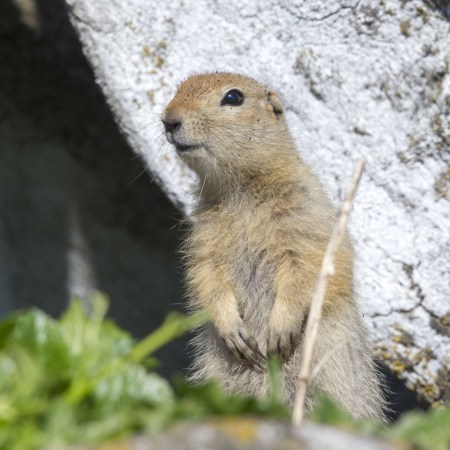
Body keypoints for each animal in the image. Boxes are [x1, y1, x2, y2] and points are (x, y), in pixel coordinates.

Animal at [162, 72, 386, 420]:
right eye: (178, 89)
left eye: (233, 97)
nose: (168, 120)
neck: (241, 189)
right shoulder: (203, 239)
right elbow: (205, 277)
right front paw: (233, 330)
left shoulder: (306, 219)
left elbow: (308, 269)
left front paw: (279, 331)